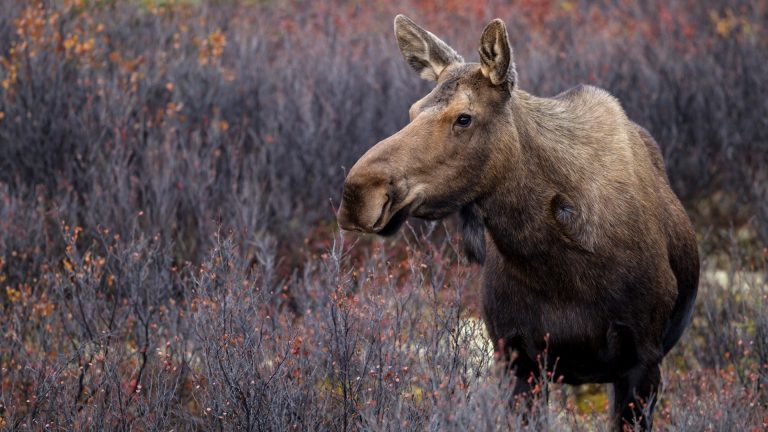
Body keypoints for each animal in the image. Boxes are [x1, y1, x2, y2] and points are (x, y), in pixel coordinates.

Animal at [336, 15, 696, 430]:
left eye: (464, 117)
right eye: (412, 111)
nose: (358, 194)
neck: (559, 268)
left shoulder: (641, 360)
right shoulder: (516, 357)